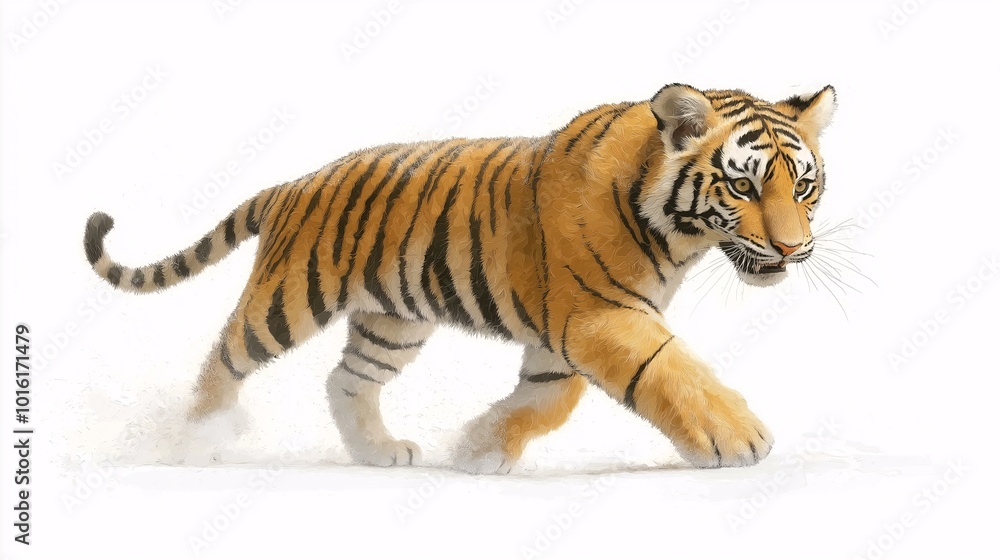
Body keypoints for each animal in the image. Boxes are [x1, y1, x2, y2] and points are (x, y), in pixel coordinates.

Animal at [83, 83, 836, 474]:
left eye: (804, 187)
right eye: (742, 186)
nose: (794, 248)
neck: (678, 235)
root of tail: (292, 183)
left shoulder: (564, 334)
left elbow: (548, 400)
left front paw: (476, 450)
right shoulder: (599, 314)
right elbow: (670, 370)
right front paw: (737, 439)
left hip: (393, 322)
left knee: (346, 379)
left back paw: (379, 452)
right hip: (290, 296)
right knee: (225, 355)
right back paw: (193, 441)